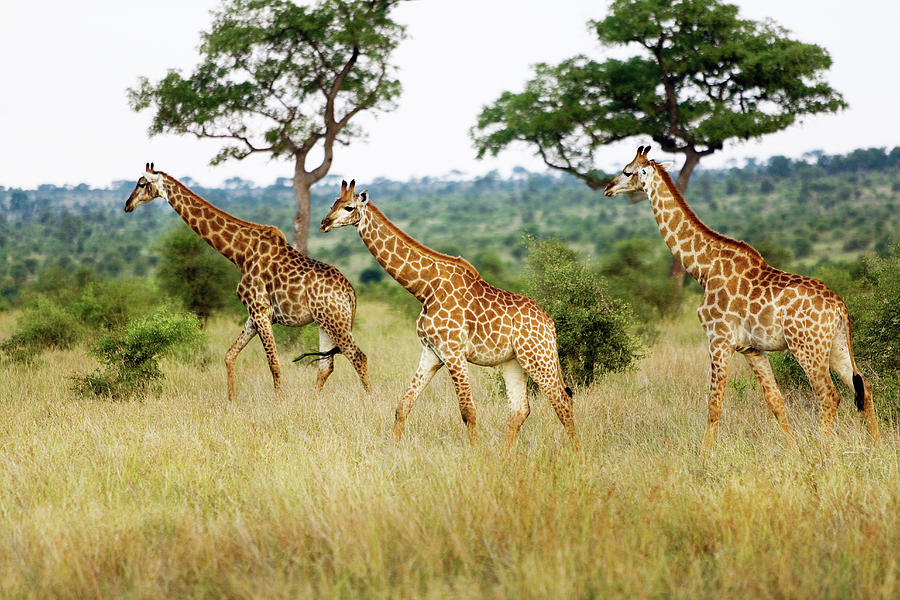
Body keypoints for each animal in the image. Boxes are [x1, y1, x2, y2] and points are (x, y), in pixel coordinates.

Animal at [124, 163, 370, 399]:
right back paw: (313, 402)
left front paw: (279, 403)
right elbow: (229, 355)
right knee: (326, 365)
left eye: (142, 183)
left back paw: (368, 402)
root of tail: (350, 292)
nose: (127, 205)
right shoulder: (254, 314)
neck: (240, 253)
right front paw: (231, 400)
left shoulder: (261, 310)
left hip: (334, 321)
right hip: (324, 322)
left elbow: (274, 364)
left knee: (358, 357)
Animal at [319, 180, 579, 453]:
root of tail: (549, 323)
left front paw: (476, 454)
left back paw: (576, 453)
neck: (425, 288)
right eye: (333, 203)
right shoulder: (432, 352)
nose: (324, 223)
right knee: (520, 409)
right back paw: (505, 455)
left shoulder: (453, 352)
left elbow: (468, 411)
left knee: (562, 400)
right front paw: (391, 450)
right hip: (513, 362)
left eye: (348, 207)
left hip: (538, 358)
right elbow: (403, 405)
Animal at [605, 146, 879, 448]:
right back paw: (876, 448)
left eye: (627, 171)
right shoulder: (751, 348)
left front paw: (704, 456)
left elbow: (714, 404)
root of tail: (839, 306)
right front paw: (794, 451)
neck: (703, 268)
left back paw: (822, 451)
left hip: (807, 347)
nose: (608, 188)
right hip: (836, 346)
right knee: (865, 386)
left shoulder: (718, 340)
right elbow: (775, 401)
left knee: (829, 395)